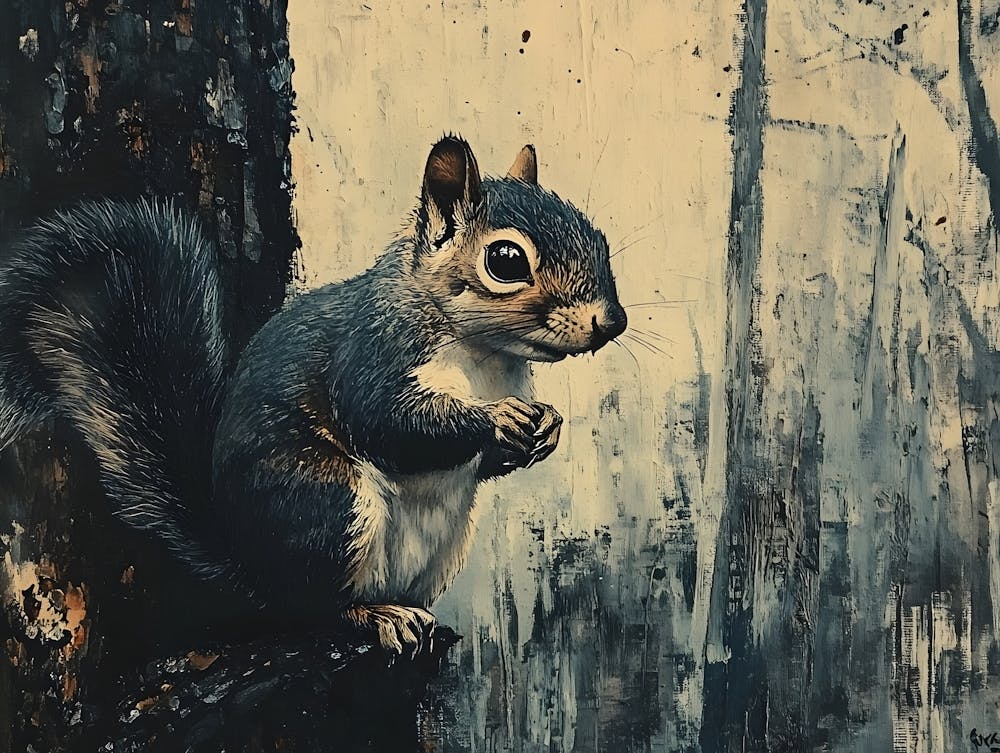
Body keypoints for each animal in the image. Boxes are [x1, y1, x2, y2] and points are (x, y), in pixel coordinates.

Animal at [0, 136, 626, 653]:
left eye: (597, 237)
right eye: (505, 260)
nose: (612, 322)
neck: (486, 356)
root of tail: (249, 564)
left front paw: (545, 427)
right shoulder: (373, 352)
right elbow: (387, 422)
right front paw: (498, 419)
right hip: (328, 505)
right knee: (311, 608)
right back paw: (375, 615)